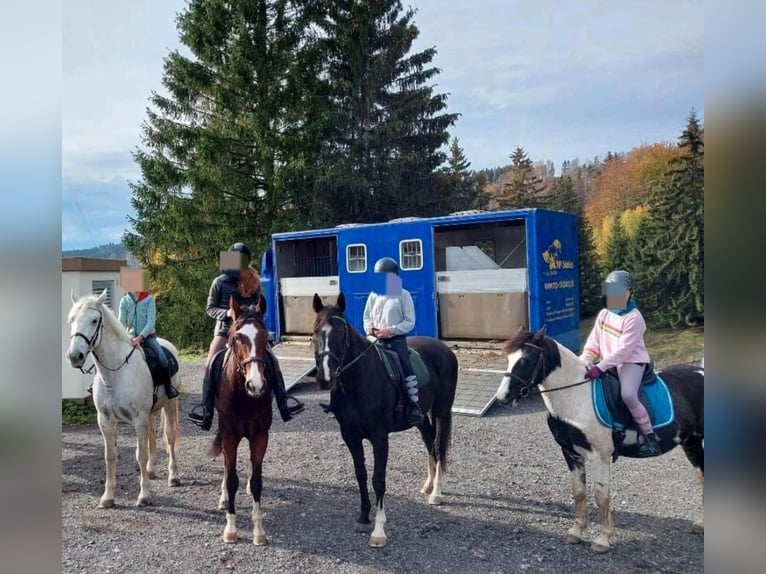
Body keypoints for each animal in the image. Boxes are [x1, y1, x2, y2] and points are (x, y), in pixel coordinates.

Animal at [64, 292, 182, 508]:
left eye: (94, 320)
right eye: (72, 320)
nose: (75, 356)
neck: (116, 374)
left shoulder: (138, 419)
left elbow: (140, 454)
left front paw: (144, 495)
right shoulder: (105, 420)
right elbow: (110, 457)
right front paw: (108, 497)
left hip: (169, 405)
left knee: (170, 438)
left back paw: (174, 477)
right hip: (150, 413)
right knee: (152, 437)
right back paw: (151, 470)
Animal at [206, 300, 274, 548]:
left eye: (265, 337)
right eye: (236, 338)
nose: (256, 385)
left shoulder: (260, 436)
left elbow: (257, 482)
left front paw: (259, 532)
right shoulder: (229, 436)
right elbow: (232, 478)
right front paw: (231, 529)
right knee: (227, 467)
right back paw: (224, 498)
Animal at [310, 292, 460, 548]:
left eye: (340, 334)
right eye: (315, 332)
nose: (325, 378)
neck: (358, 381)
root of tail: (445, 350)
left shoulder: (380, 437)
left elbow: (378, 479)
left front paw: (378, 531)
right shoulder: (350, 436)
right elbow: (360, 474)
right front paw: (363, 517)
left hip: (441, 411)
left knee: (439, 447)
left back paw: (436, 494)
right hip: (422, 418)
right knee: (430, 442)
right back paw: (428, 485)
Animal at [496, 330, 704, 556]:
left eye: (527, 360)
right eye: (509, 359)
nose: (502, 398)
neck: (575, 397)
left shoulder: (599, 456)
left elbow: (601, 496)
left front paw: (602, 539)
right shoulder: (571, 453)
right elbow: (578, 492)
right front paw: (576, 532)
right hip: (691, 442)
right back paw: (701, 524)